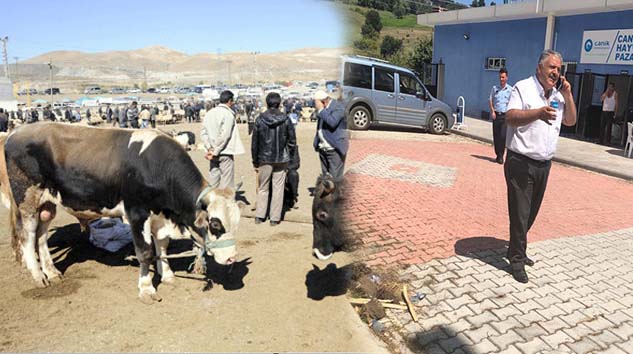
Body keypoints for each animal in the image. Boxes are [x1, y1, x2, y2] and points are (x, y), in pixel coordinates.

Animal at [3, 123, 241, 302]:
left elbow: (162, 245)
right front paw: (146, 288)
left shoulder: (159, 216)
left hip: (48, 203)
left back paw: (52, 272)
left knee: (41, 236)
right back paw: (38, 276)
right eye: (215, 223)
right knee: (28, 236)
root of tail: (16, 132)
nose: (231, 258)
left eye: (236, 222)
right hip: (27, 201)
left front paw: (167, 274)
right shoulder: (137, 213)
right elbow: (145, 252)